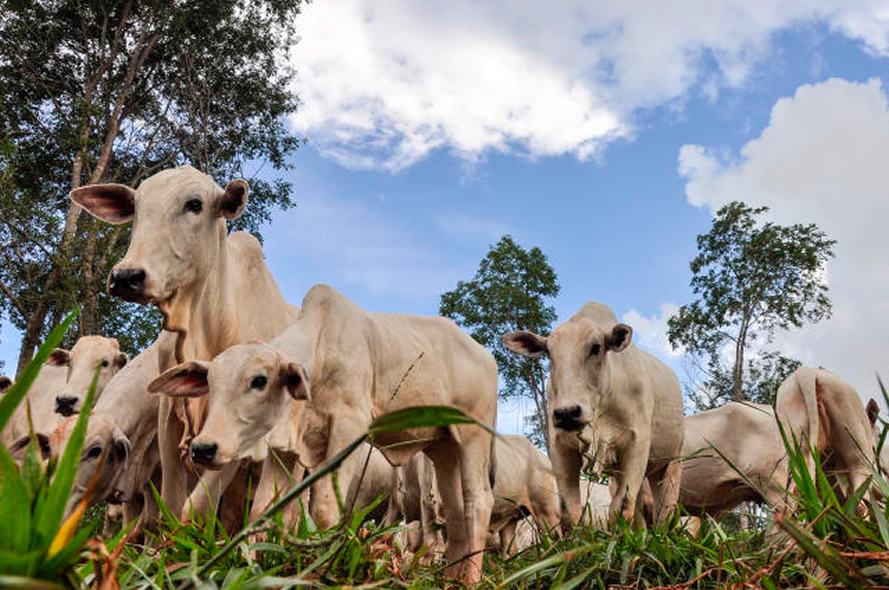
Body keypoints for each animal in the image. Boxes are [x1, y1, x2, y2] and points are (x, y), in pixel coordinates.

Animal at [70, 164, 298, 524]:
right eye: (136, 206)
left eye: (194, 204)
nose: (126, 277)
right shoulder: (169, 421)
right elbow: (171, 505)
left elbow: (197, 507)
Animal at [153, 286, 500, 588]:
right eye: (210, 383)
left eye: (259, 380)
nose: (203, 448)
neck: (320, 352)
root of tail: (485, 354)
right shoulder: (287, 446)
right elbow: (263, 509)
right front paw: (260, 567)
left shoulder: (350, 427)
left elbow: (324, 506)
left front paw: (321, 568)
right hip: (443, 447)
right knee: (455, 512)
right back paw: (450, 580)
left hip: (473, 435)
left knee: (479, 500)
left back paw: (471, 580)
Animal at [502, 302, 684, 528]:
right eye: (549, 353)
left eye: (596, 348)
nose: (567, 413)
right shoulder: (560, 448)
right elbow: (570, 512)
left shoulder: (638, 445)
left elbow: (621, 509)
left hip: (672, 461)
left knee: (665, 509)